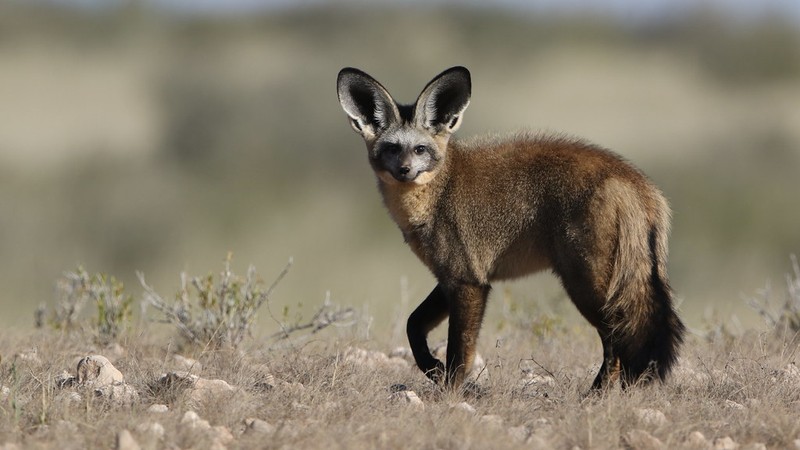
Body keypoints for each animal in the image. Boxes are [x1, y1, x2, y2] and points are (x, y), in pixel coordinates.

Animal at [334, 66, 684, 390]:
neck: (438, 194)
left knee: (616, 340)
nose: (405, 170)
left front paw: (452, 394)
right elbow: (413, 326)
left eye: (420, 149)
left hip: (586, 285)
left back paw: (594, 397)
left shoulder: (469, 282)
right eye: (393, 148)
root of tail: (636, 180)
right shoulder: (450, 278)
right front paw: (433, 370)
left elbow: (459, 354)